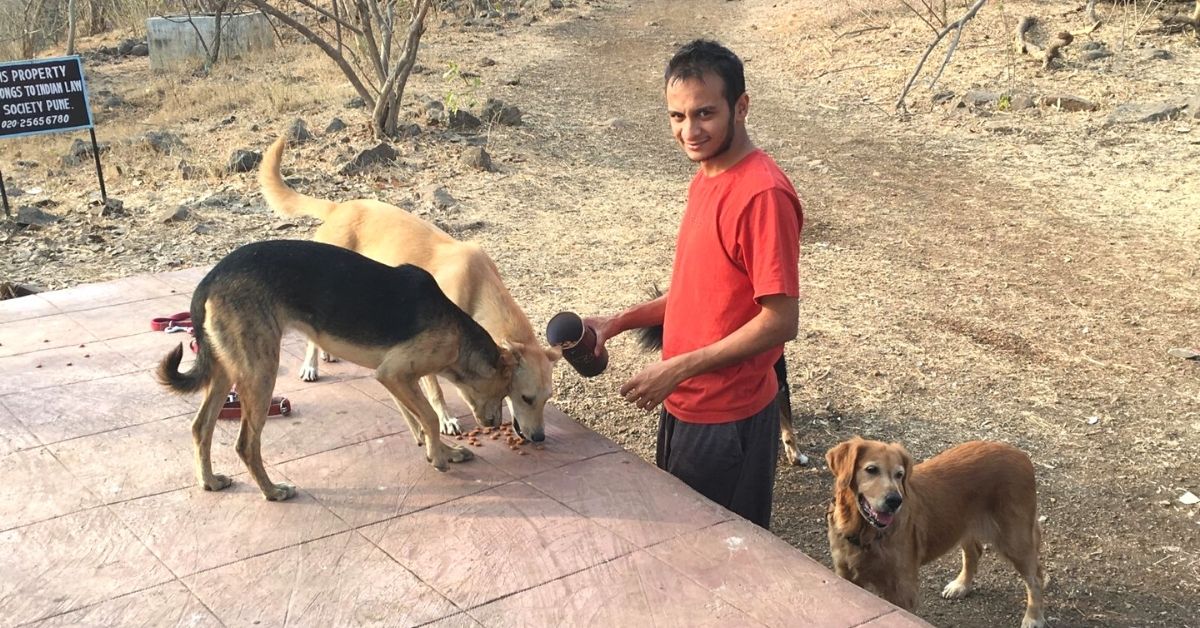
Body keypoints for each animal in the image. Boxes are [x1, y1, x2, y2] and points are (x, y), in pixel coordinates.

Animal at [260, 137, 559, 441]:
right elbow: (435, 391)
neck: (479, 287)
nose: (539, 437)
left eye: (547, 399)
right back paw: (310, 365)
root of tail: (339, 207)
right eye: (525, 397)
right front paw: (446, 419)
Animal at [830, 437, 1046, 628]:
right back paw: (961, 585)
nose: (895, 501)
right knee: (974, 552)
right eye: (871, 470)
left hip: (1014, 540)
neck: (866, 532)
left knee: (1035, 580)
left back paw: (1033, 618)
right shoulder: (844, 576)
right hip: (963, 523)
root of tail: (1020, 454)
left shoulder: (902, 590)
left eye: (899, 474)